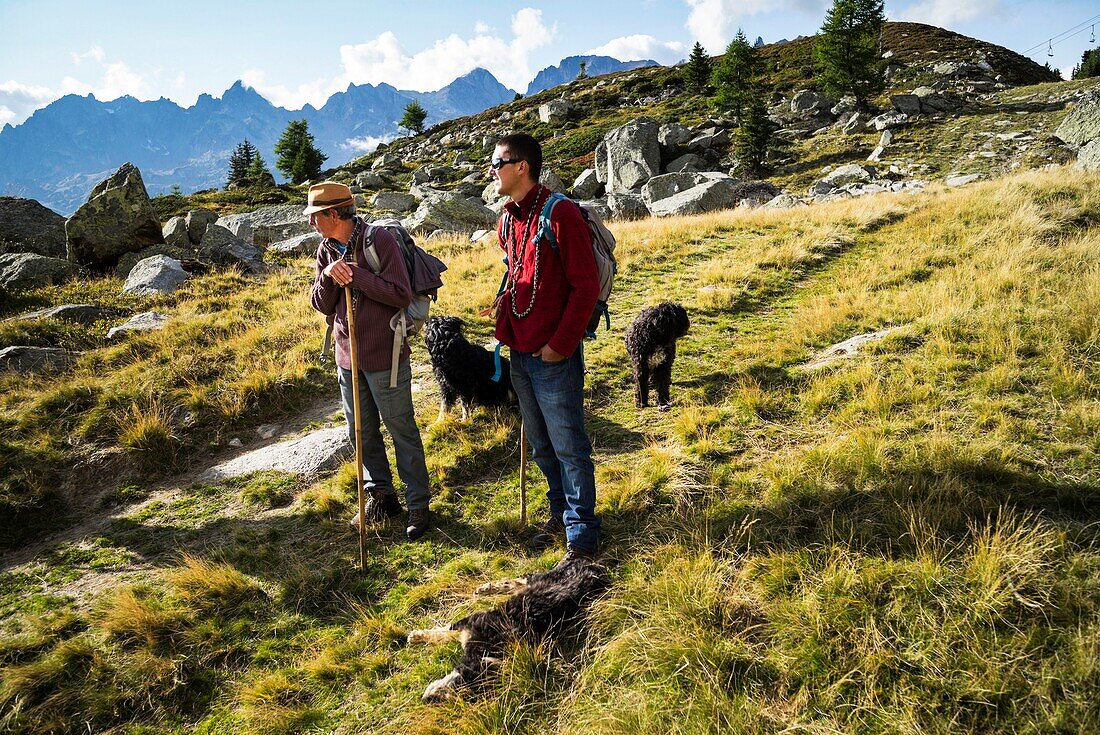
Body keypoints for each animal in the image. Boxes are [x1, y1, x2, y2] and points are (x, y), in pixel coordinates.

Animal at [409, 558, 611, 704]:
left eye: (459, 692)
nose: (425, 699)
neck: (489, 645)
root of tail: (595, 566)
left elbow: (447, 633)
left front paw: (418, 636)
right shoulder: (472, 621)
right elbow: (445, 630)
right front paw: (417, 636)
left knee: (520, 582)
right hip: (547, 577)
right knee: (523, 579)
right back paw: (487, 588)